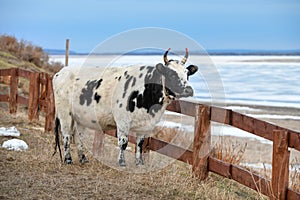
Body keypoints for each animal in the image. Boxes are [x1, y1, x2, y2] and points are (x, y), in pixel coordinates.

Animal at [52, 48, 198, 166]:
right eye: (172, 74)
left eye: (187, 74)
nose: (189, 90)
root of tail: (61, 72)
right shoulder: (123, 121)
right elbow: (123, 142)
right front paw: (121, 162)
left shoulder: (145, 124)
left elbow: (140, 143)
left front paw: (139, 163)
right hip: (65, 114)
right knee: (66, 135)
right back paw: (68, 159)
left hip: (81, 117)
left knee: (78, 137)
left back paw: (83, 159)